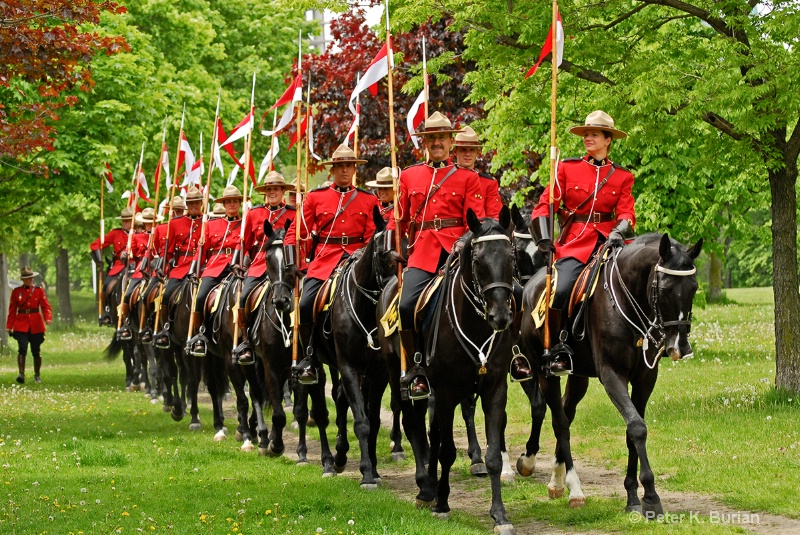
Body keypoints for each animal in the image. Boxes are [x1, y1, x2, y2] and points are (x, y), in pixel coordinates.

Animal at [520, 233, 700, 516]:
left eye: (694, 288)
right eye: (664, 290)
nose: (679, 347)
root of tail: (530, 287)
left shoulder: (645, 379)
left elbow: (632, 430)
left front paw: (633, 495)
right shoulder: (612, 374)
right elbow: (637, 427)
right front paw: (650, 495)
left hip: (578, 376)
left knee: (566, 412)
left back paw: (557, 481)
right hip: (544, 372)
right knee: (560, 423)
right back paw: (574, 488)